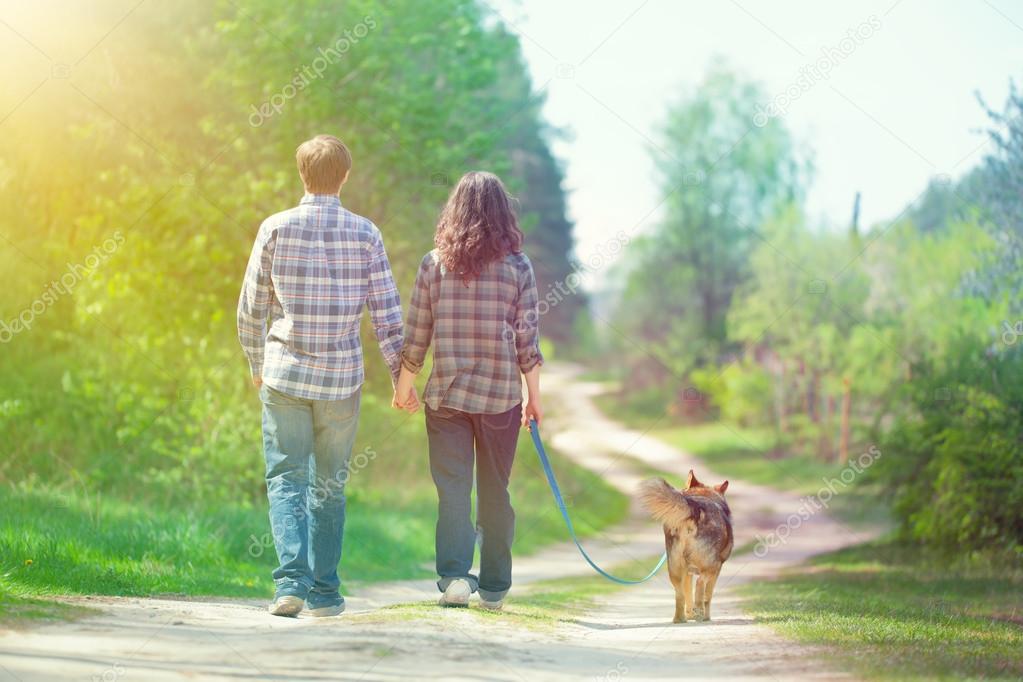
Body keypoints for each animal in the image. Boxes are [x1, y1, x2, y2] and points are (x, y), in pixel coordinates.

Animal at [638, 470, 728, 625]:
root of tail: (695, 509)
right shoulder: (716, 571)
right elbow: (708, 596)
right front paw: (706, 616)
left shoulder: (687, 572)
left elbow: (688, 595)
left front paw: (690, 614)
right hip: (712, 565)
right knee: (700, 583)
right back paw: (699, 614)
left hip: (675, 567)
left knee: (679, 594)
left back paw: (680, 619)